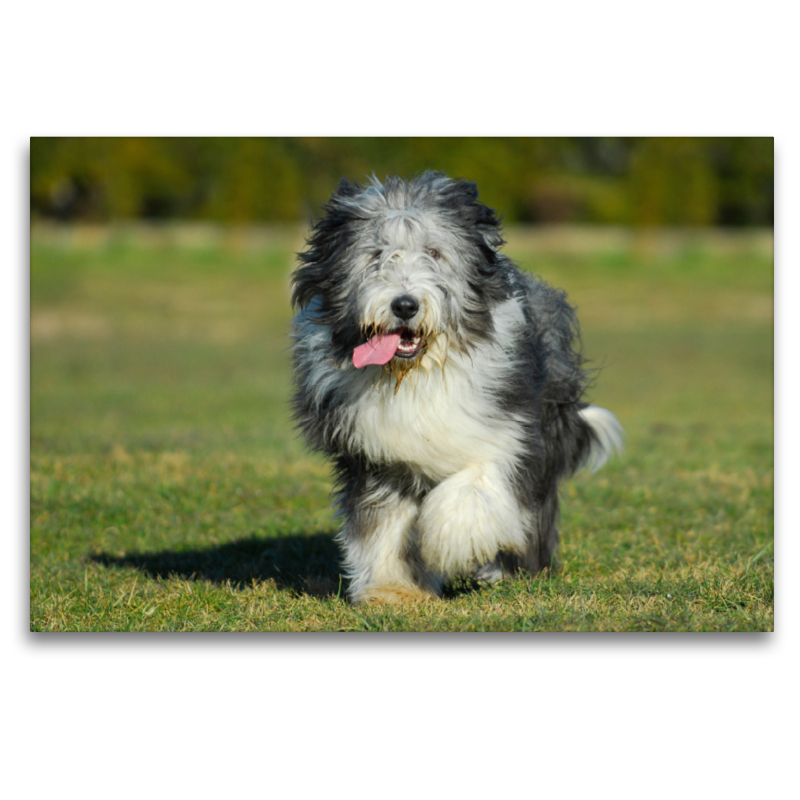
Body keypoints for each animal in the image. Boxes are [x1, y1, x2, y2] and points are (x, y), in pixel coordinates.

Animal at [290, 172, 620, 604]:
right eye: (376, 254)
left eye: (434, 252)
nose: (405, 305)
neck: (417, 374)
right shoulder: (378, 454)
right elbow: (384, 522)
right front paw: (394, 589)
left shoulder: (510, 428)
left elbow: (476, 483)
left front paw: (453, 542)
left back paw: (514, 569)